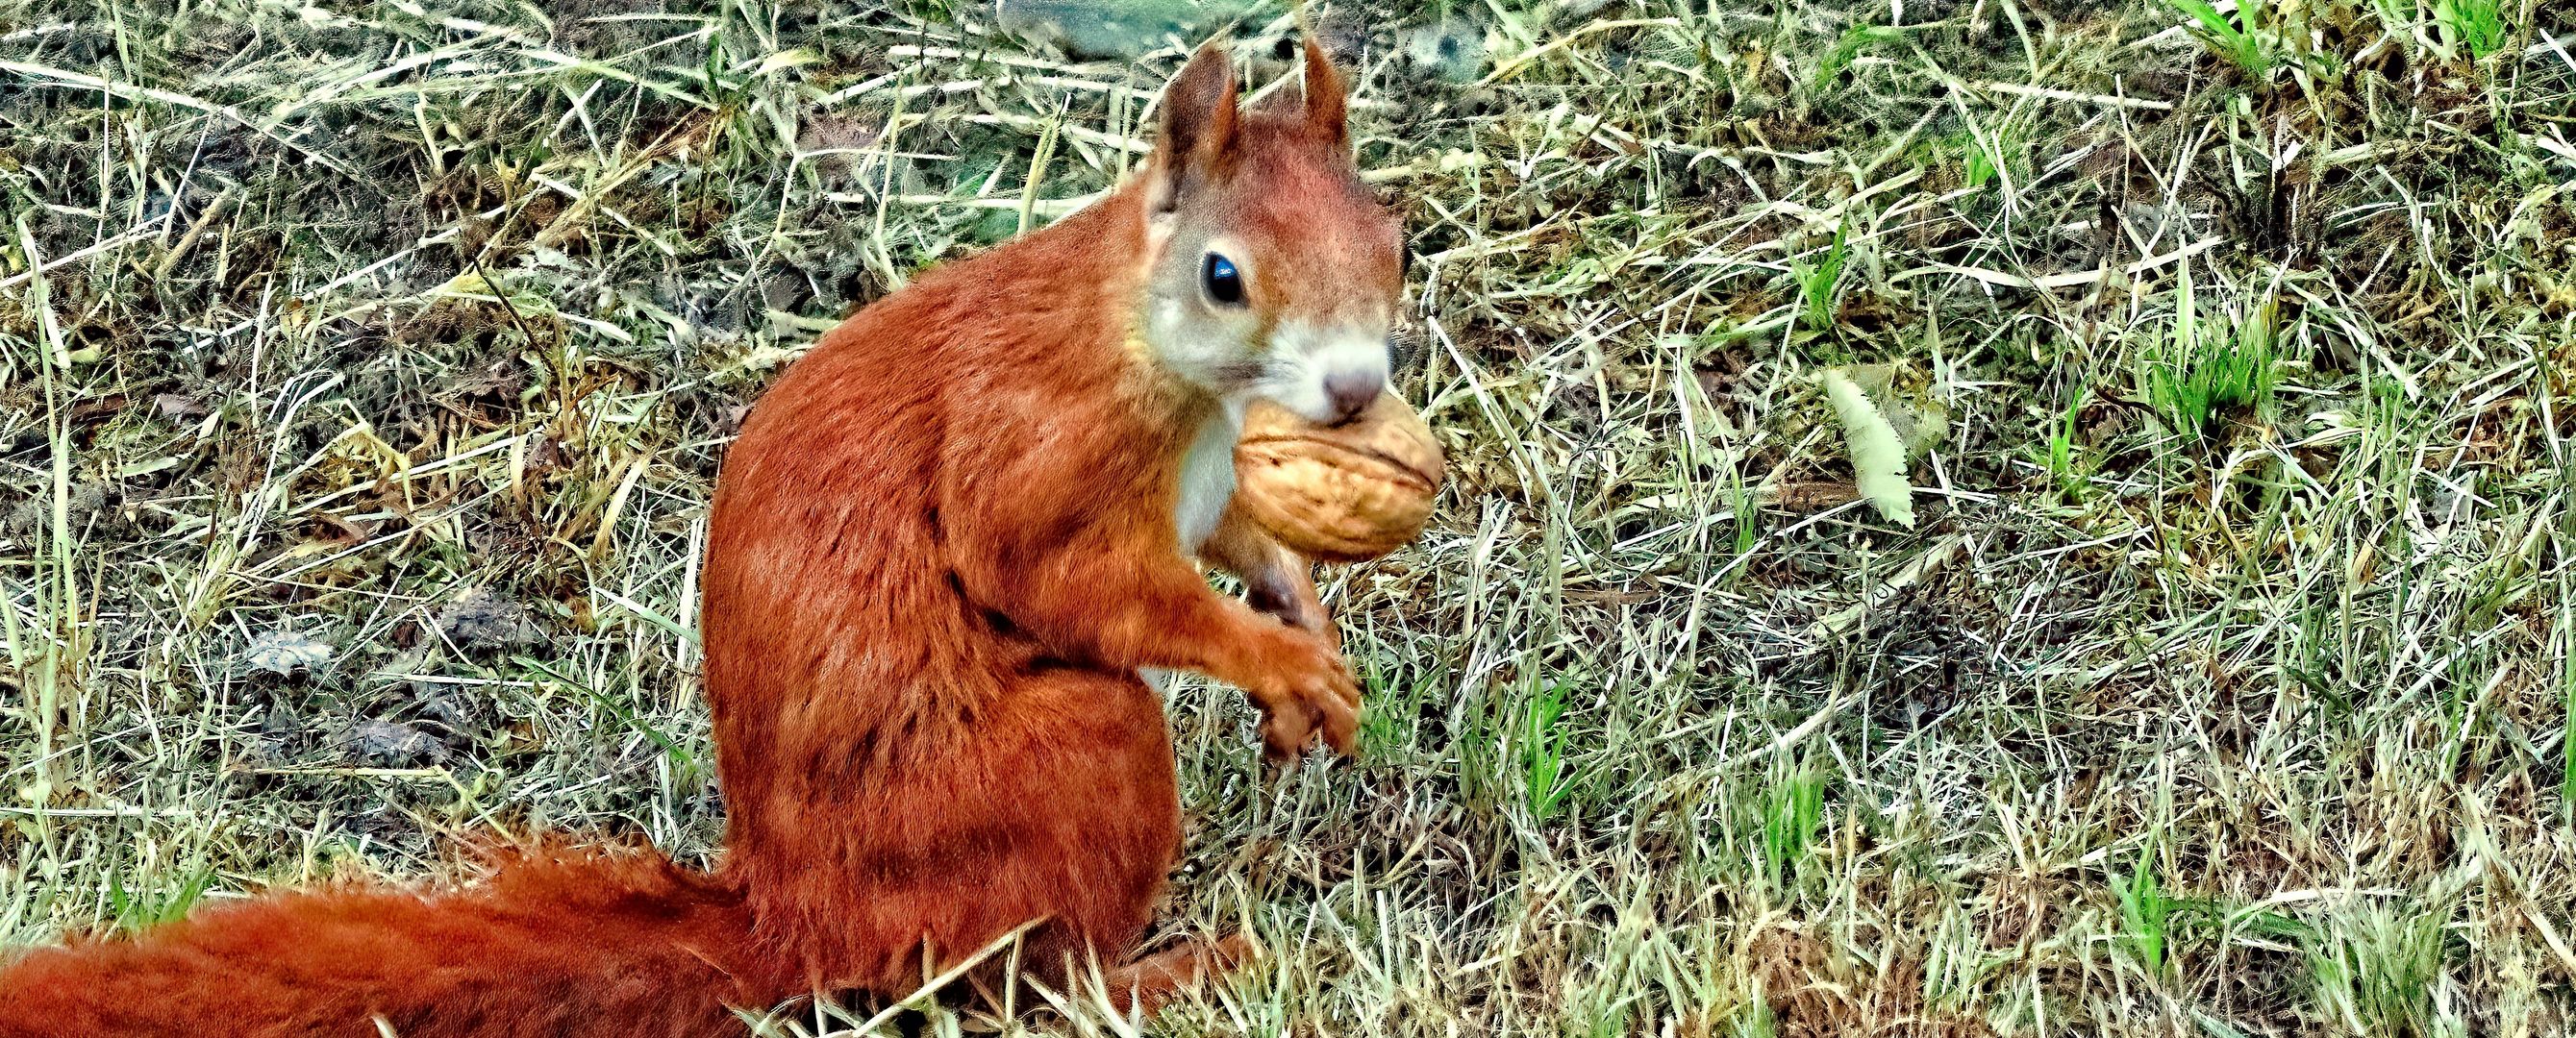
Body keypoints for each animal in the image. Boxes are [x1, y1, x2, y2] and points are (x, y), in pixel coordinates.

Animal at [0, 37, 1401, 1035]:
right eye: (1222, 277)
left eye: (1389, 234)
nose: (1352, 391)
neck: (1166, 366)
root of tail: (797, 921)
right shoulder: (1035, 448)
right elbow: (1071, 581)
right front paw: (1271, 658)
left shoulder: (1206, 484)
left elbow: (1238, 538)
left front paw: (1300, 623)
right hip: (1063, 763)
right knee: (1016, 986)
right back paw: (1169, 974)